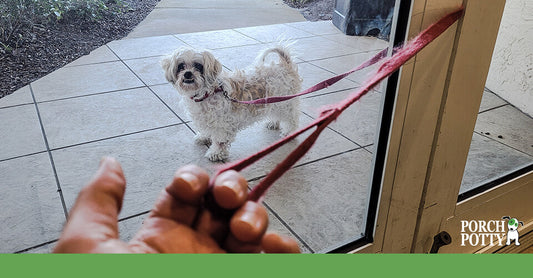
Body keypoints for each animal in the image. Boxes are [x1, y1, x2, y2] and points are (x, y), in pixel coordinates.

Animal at [160, 46, 302, 162]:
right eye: (181, 66)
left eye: (198, 66)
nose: (188, 73)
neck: (207, 93)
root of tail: (285, 64)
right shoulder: (205, 118)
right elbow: (206, 129)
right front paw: (204, 137)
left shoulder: (222, 124)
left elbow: (220, 141)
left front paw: (216, 153)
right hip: (275, 101)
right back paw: (273, 122)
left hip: (285, 103)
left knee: (292, 119)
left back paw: (289, 132)